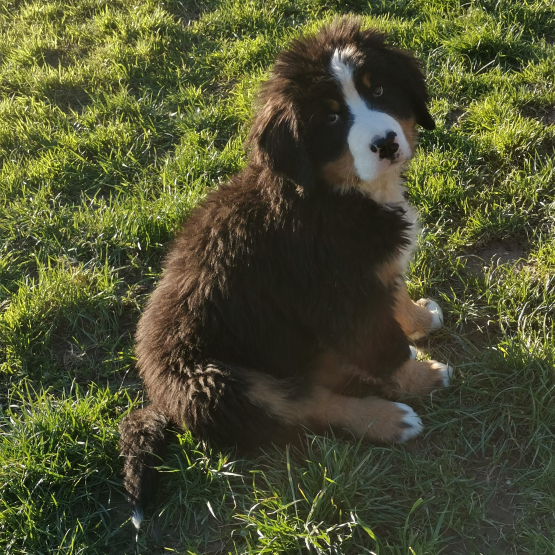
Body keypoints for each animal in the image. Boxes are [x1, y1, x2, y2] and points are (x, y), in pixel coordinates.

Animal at [120, 17, 452, 528]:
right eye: (332, 119)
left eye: (379, 91)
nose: (386, 143)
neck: (329, 195)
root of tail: (160, 396)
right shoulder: (339, 296)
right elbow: (385, 347)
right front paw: (423, 377)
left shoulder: (368, 273)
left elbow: (393, 294)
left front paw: (419, 316)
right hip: (223, 382)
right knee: (304, 408)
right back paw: (388, 420)